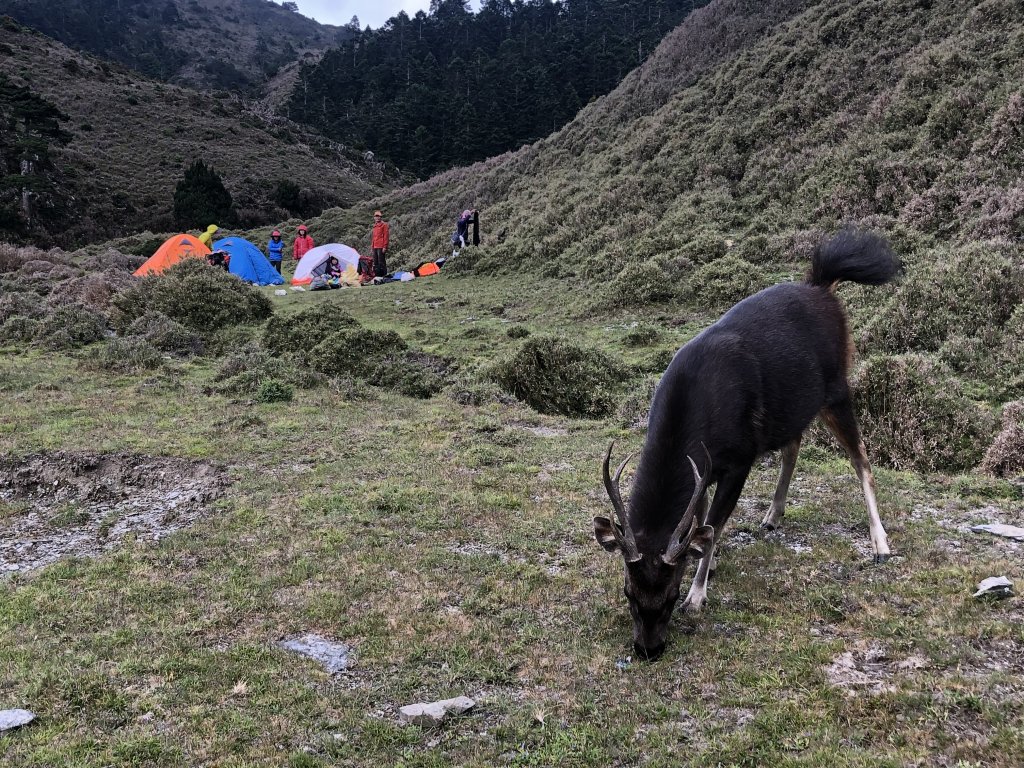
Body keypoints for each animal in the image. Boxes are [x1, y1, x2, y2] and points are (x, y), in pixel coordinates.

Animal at [598, 230, 901, 663]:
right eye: (627, 591)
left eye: (670, 595)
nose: (647, 649)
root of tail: (822, 285)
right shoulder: (706, 469)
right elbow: (701, 522)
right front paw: (708, 562)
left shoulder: (739, 460)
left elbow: (712, 526)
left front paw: (698, 594)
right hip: (795, 405)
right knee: (794, 446)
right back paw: (772, 515)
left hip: (837, 388)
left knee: (862, 459)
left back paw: (880, 543)